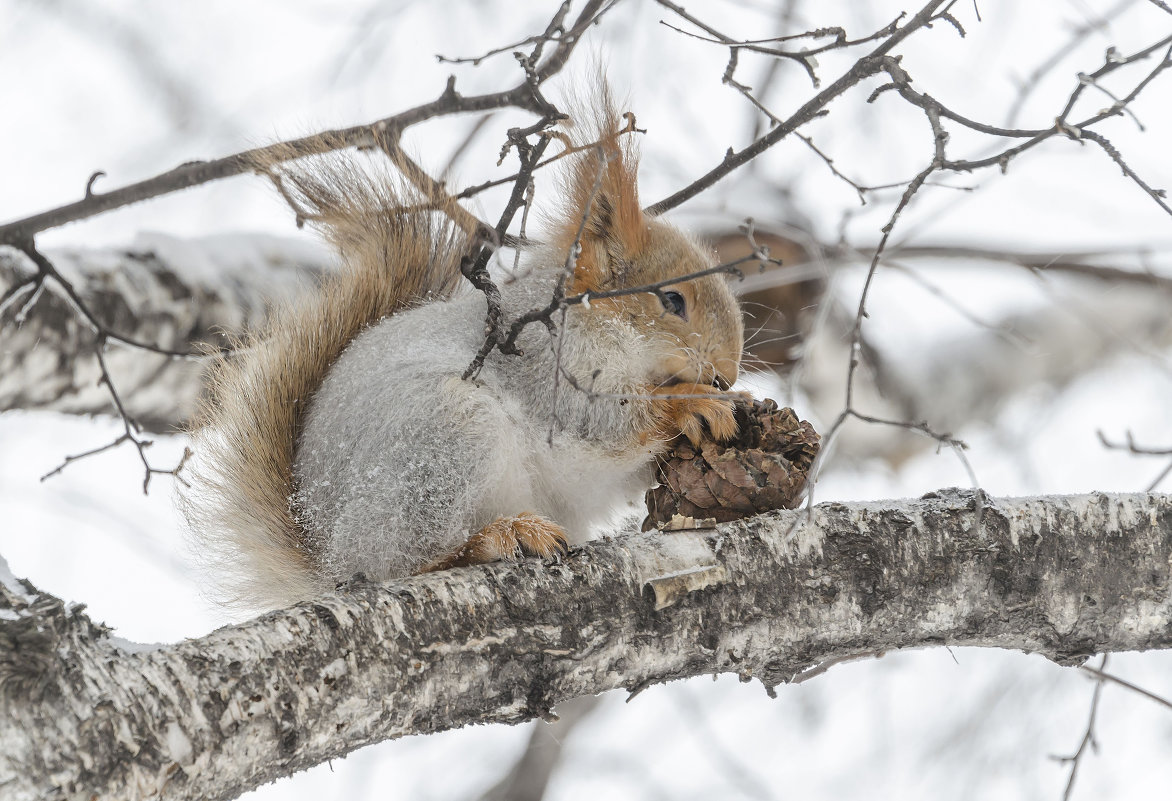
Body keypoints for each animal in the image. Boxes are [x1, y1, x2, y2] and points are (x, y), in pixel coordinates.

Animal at [181, 93, 740, 609]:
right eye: (672, 300)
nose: (727, 375)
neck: (594, 321)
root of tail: (331, 560)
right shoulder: (544, 363)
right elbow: (603, 420)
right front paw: (698, 402)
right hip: (445, 439)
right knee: (407, 564)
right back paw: (498, 537)